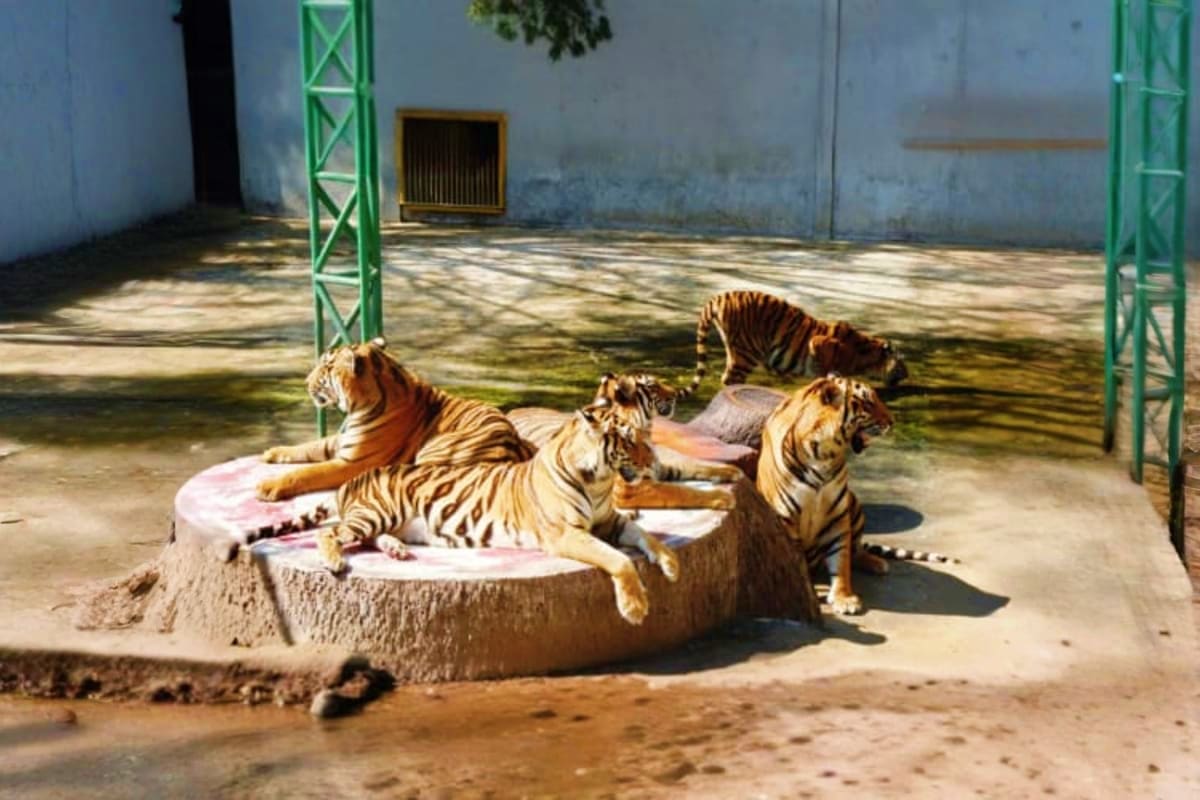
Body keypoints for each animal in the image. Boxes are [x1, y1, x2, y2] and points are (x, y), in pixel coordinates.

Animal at [250, 402, 677, 625]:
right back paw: (335, 561)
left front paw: (671, 564)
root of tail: (353, 481)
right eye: (628, 441)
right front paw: (635, 607)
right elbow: (619, 559)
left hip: (384, 520)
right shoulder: (566, 533)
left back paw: (397, 550)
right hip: (375, 511)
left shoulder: (610, 519)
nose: (652, 462)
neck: (599, 480)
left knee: (365, 536)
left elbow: (645, 536)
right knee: (330, 533)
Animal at [255, 337, 532, 502]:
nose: (304, 382)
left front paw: (269, 487)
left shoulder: (352, 462)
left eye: (325, 368)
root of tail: (513, 452)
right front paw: (272, 451)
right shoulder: (342, 441)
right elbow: (310, 446)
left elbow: (306, 472)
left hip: (433, 452)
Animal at [507, 372, 744, 510]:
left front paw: (733, 471)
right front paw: (723, 498)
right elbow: (682, 492)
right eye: (653, 386)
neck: (645, 429)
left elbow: (694, 464)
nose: (675, 394)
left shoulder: (658, 464)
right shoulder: (631, 487)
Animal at [675, 289, 908, 402]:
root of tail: (718, 297)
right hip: (746, 353)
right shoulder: (819, 343)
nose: (907, 376)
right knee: (730, 379)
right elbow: (827, 372)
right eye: (902, 364)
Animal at [756, 374, 949, 615]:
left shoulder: (837, 513)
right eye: (868, 403)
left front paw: (844, 599)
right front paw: (809, 590)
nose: (892, 421)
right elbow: (798, 560)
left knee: (856, 550)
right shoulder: (786, 517)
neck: (822, 455)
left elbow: (841, 558)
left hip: (854, 502)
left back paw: (877, 563)